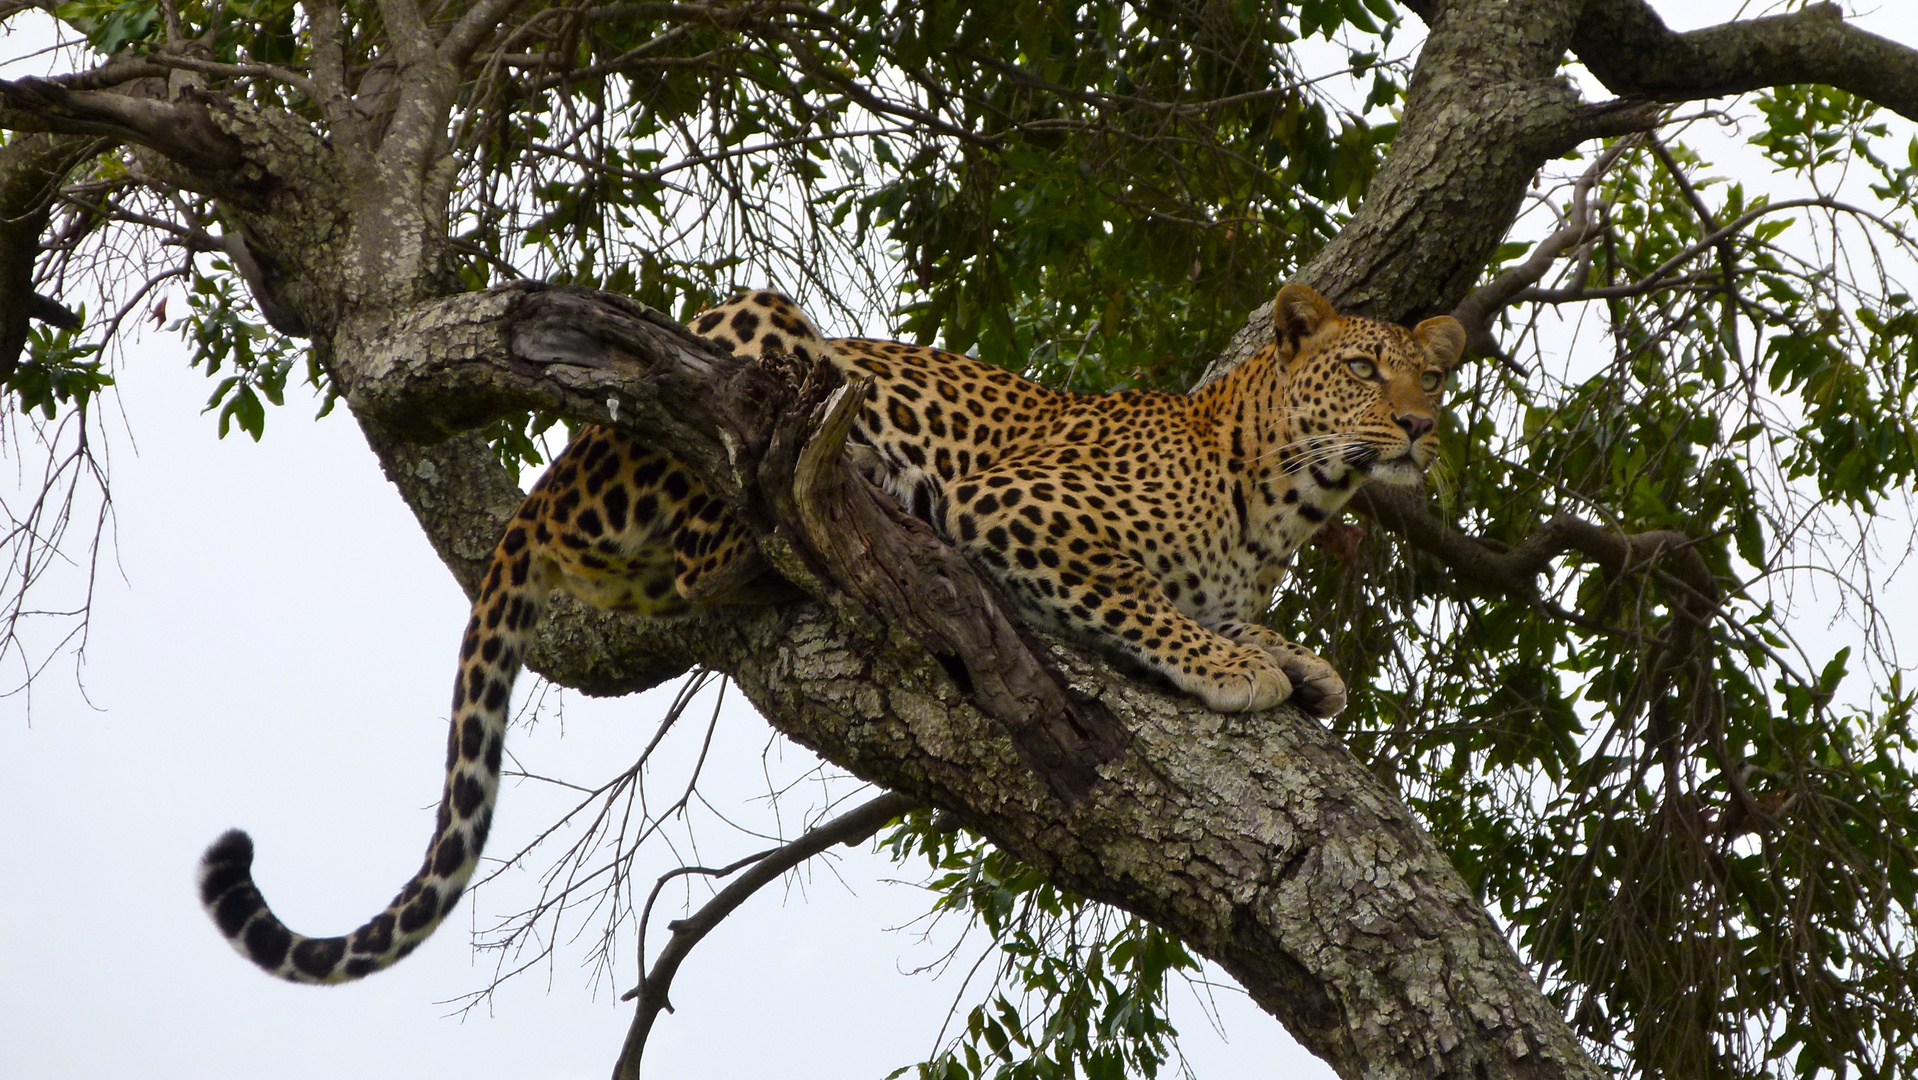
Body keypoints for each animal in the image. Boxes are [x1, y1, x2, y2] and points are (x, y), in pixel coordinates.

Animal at [194, 283, 1457, 982]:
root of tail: (551, 481)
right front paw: (1240, 666)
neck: (1286, 497)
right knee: (712, 539)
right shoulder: (1014, 511)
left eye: (1423, 376)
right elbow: (1141, 606)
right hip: (757, 342)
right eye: (1360, 368)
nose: (1417, 426)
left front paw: (1297, 659)